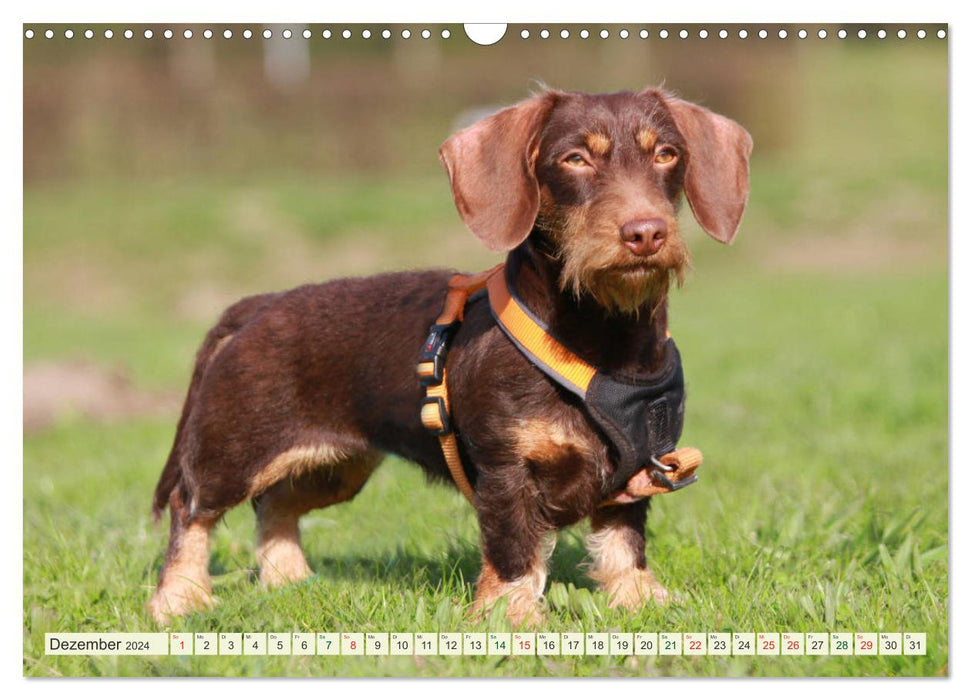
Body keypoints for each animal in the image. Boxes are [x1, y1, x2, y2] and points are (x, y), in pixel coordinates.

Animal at [146, 86, 752, 624]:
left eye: (667, 154)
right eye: (575, 159)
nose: (645, 233)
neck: (600, 341)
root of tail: (260, 305)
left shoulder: (639, 468)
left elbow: (625, 543)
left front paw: (640, 601)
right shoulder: (506, 472)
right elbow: (513, 552)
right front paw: (512, 616)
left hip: (337, 465)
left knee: (276, 507)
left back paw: (290, 580)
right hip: (234, 453)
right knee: (191, 509)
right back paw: (178, 599)